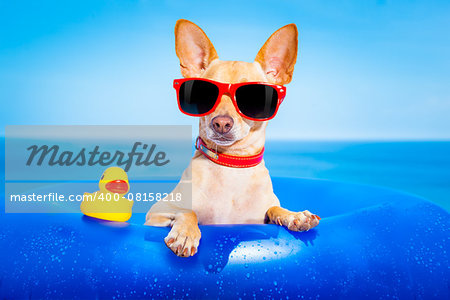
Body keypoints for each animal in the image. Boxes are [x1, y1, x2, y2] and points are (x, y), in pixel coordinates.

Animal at [145, 19, 320, 256]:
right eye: (204, 94)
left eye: (254, 98)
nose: (221, 123)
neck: (231, 164)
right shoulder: (157, 211)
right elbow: (188, 211)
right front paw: (185, 234)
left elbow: (273, 207)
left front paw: (294, 215)